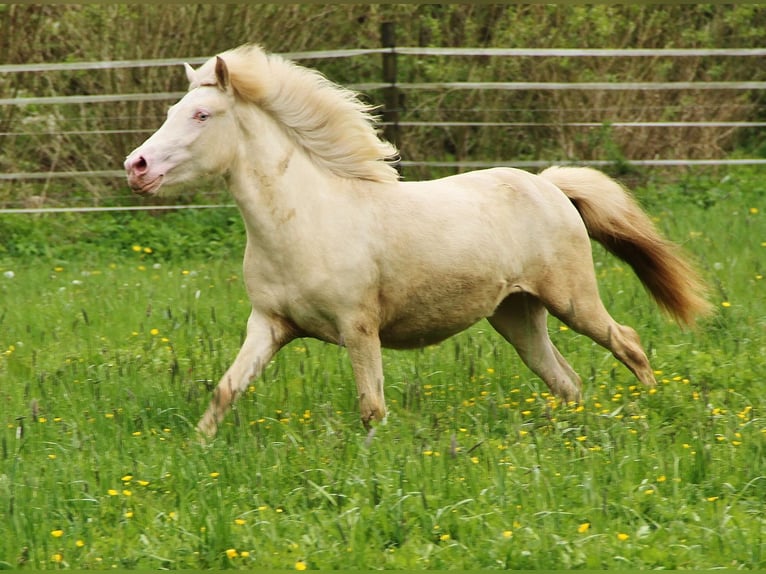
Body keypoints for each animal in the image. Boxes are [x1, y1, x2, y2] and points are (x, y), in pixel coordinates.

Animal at [123, 45, 712, 438]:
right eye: (171, 112)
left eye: (201, 114)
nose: (137, 166)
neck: (304, 220)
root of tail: (548, 185)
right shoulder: (269, 325)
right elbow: (226, 388)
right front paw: (197, 449)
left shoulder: (359, 328)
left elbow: (372, 408)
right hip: (517, 315)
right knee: (566, 381)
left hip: (572, 299)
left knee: (626, 341)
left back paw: (653, 409)